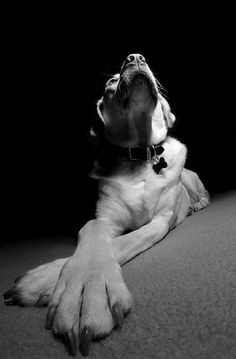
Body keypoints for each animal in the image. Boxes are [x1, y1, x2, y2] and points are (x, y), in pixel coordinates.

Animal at [2, 53, 209, 358]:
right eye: (110, 82)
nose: (135, 57)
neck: (140, 157)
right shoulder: (104, 219)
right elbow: (92, 229)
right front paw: (59, 280)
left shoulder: (161, 220)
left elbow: (127, 241)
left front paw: (79, 288)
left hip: (190, 178)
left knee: (202, 193)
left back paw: (198, 206)